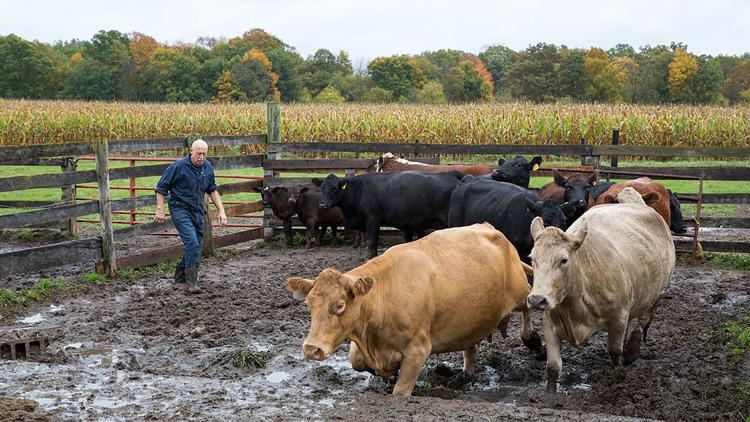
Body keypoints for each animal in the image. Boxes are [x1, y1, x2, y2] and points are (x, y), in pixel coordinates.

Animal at [286, 224, 540, 396]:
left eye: (339, 305)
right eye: (308, 305)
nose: (311, 349)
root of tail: (492, 229)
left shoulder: (418, 350)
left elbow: (400, 391)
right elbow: (357, 361)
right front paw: (385, 375)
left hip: (519, 290)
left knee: (529, 301)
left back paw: (532, 339)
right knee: (471, 347)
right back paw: (464, 376)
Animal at [316, 171, 464, 258]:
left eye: (334, 188)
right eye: (322, 188)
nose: (323, 205)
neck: (359, 189)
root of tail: (451, 174)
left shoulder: (372, 219)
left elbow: (371, 241)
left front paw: (370, 257)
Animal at [524, 187, 680, 392]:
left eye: (564, 259)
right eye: (532, 258)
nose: (536, 300)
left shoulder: (618, 319)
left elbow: (615, 353)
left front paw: (617, 376)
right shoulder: (550, 323)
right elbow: (553, 367)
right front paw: (550, 394)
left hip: (657, 294)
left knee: (642, 321)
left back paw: (633, 350)